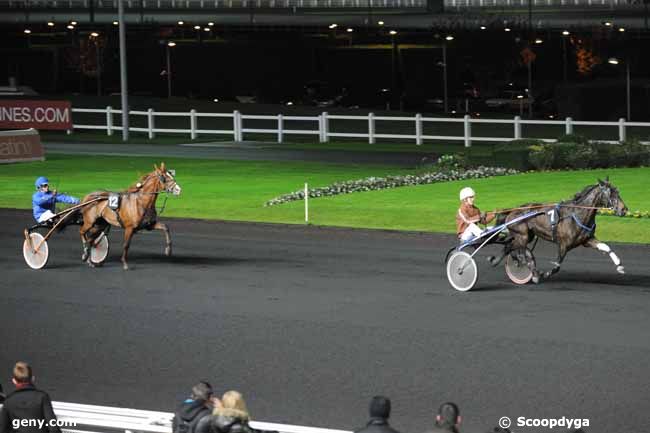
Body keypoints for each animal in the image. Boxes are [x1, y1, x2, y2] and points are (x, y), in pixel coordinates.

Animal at [494, 176, 624, 282]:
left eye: (617, 191)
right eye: (611, 193)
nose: (624, 209)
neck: (577, 214)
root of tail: (512, 210)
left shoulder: (587, 240)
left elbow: (606, 247)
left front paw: (619, 265)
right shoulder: (563, 244)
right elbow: (557, 265)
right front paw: (544, 274)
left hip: (526, 236)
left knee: (509, 247)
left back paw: (495, 260)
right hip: (522, 235)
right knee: (520, 254)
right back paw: (534, 273)